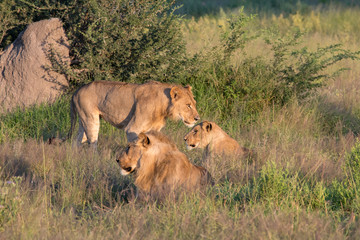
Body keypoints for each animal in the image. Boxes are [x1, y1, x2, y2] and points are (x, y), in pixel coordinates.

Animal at [67, 80, 200, 147]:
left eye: (194, 103)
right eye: (188, 105)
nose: (197, 118)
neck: (163, 107)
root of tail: (77, 90)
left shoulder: (154, 130)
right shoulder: (132, 129)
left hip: (83, 120)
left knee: (77, 141)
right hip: (91, 120)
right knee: (92, 143)